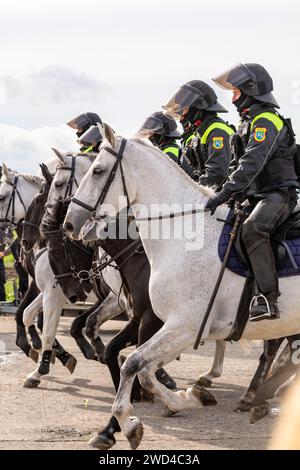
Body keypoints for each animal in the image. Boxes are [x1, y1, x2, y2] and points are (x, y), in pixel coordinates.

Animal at [63, 124, 300, 448]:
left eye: (97, 171)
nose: (70, 224)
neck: (183, 234)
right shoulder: (167, 325)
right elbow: (141, 368)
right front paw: (186, 398)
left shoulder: (183, 326)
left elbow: (132, 363)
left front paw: (129, 421)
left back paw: (260, 396)